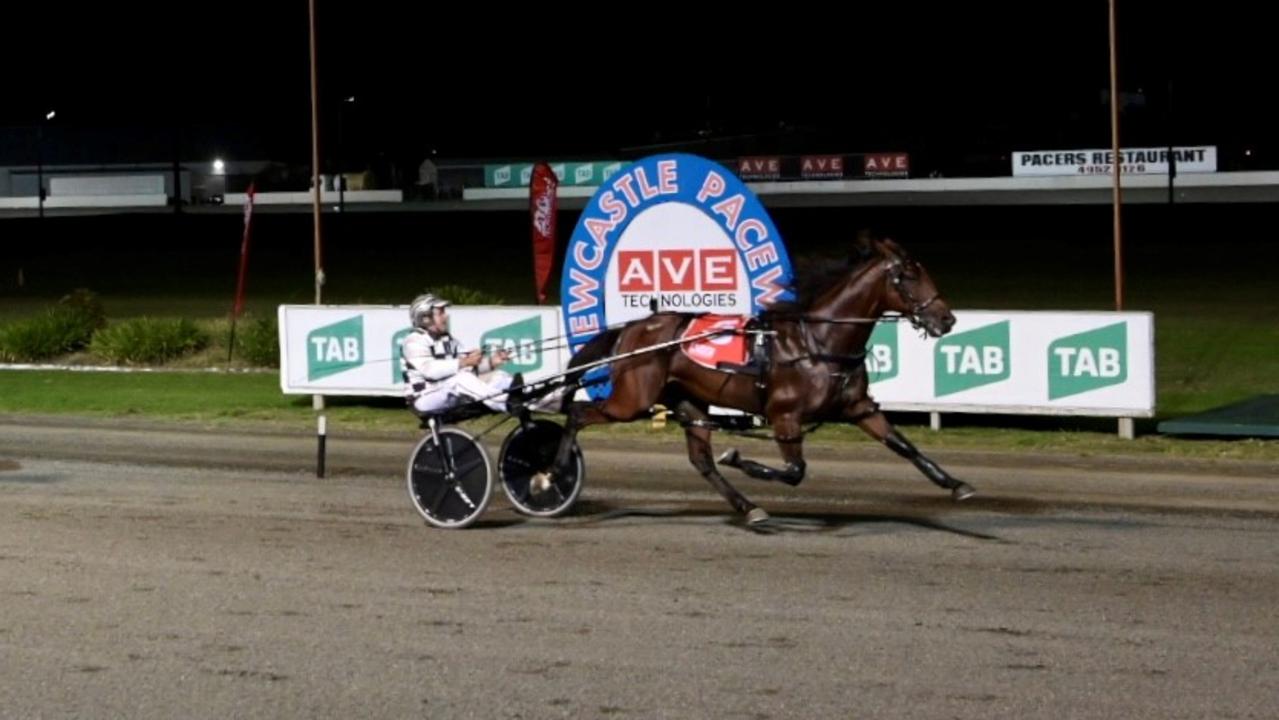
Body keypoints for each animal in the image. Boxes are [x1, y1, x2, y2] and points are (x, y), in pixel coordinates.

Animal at [544, 234, 972, 526]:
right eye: (908, 275)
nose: (946, 319)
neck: (818, 341)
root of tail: (634, 328)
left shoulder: (858, 407)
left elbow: (903, 445)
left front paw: (955, 484)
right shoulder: (785, 415)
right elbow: (795, 472)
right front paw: (740, 458)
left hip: (688, 400)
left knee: (701, 460)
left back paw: (748, 507)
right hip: (632, 399)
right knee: (578, 415)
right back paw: (551, 473)